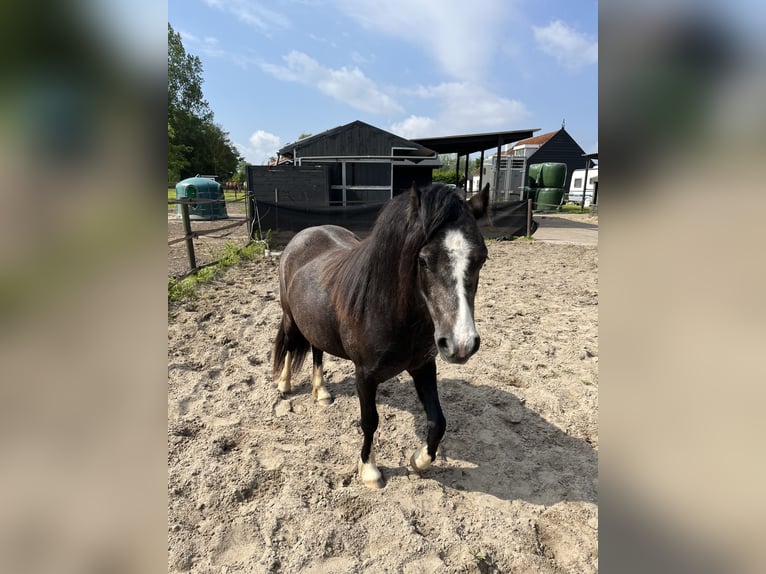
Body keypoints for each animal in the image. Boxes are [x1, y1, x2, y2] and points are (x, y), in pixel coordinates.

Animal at [274, 183, 492, 490]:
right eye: (423, 260)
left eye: (482, 258)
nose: (461, 345)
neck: (389, 311)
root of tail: (304, 234)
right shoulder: (365, 375)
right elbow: (370, 421)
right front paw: (369, 470)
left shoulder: (423, 366)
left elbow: (438, 421)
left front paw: (419, 461)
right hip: (291, 318)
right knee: (290, 346)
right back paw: (284, 385)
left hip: (315, 321)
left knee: (316, 349)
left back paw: (322, 392)